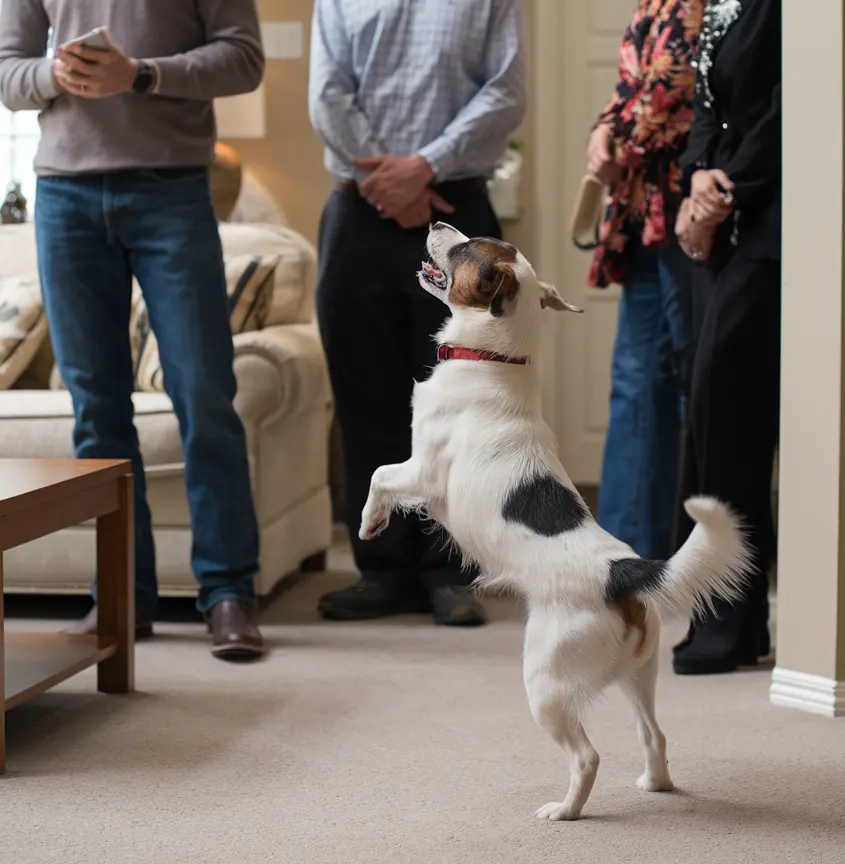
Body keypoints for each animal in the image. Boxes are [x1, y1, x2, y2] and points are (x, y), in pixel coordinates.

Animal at [358, 224, 752, 824]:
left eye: (468, 246)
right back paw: (655, 784)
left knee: (588, 756)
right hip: (638, 677)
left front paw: (371, 521)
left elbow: (380, 475)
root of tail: (624, 571)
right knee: (655, 735)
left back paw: (564, 811)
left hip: (544, 683)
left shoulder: (422, 472)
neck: (494, 358)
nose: (436, 226)